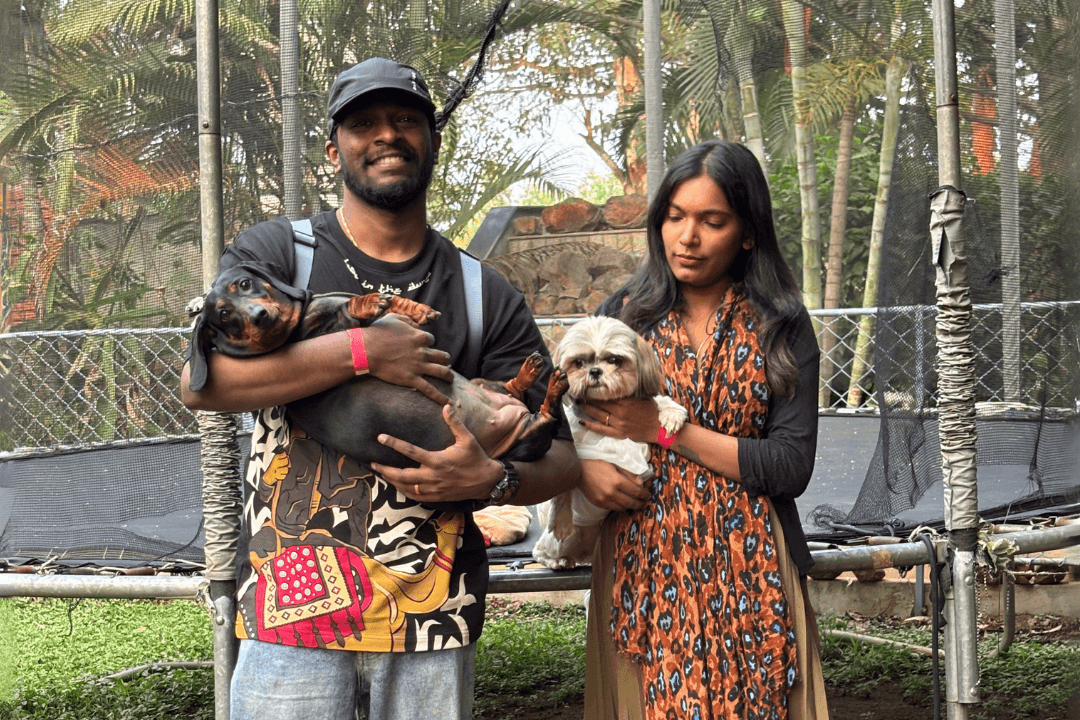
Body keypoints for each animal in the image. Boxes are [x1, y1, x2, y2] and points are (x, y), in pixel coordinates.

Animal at [187, 262, 569, 474]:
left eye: (244, 284)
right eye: (224, 315)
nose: (259, 316)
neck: (298, 324)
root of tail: (514, 414)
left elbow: (396, 304)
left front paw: (414, 309)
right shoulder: (321, 334)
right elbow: (350, 311)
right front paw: (368, 304)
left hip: (486, 384)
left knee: (512, 390)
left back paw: (530, 371)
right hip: (527, 440)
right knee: (547, 419)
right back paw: (553, 388)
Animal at [531, 316, 688, 570]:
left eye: (615, 360)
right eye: (578, 362)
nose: (595, 371)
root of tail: (584, 553)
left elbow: (660, 401)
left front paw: (672, 415)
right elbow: (563, 488)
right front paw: (561, 520)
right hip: (557, 542)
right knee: (539, 551)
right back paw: (557, 561)